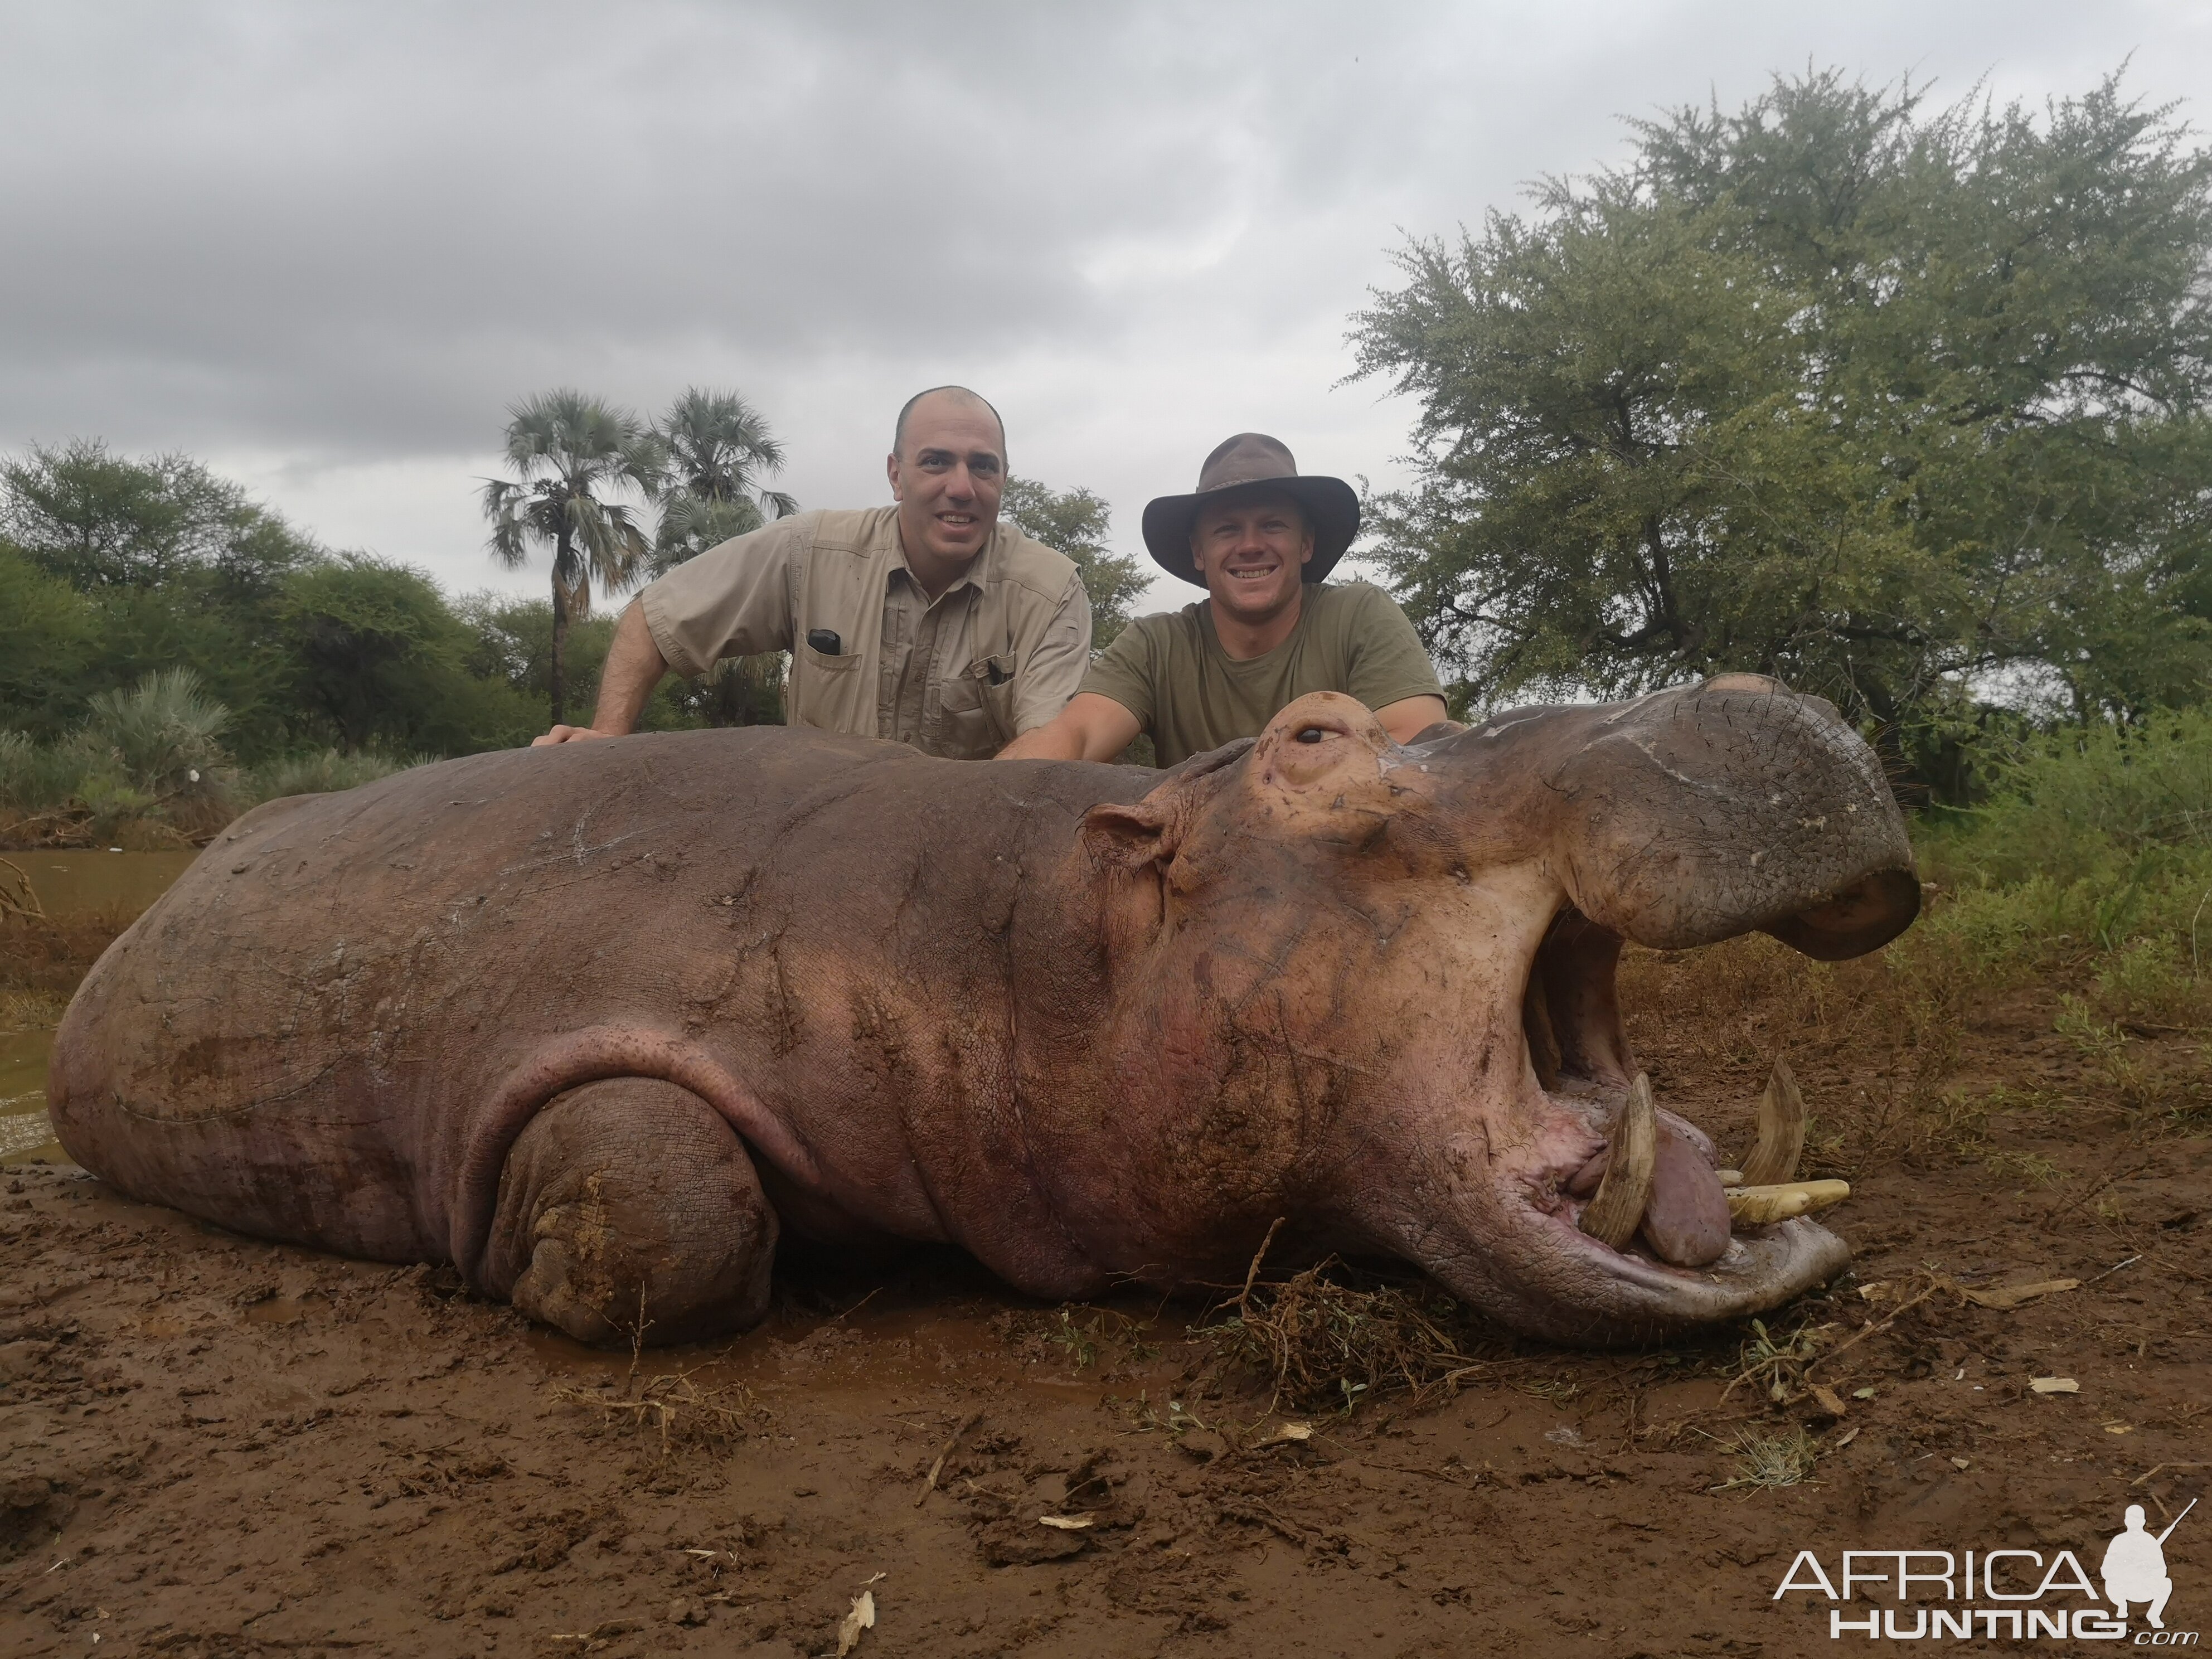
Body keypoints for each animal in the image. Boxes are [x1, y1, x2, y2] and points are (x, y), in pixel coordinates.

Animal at [47, 677, 1920, 1354]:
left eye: (1420, 714)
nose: (1763, 698)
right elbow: (668, 1202)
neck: (1035, 945)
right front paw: (517, 1266)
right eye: (1315, 738)